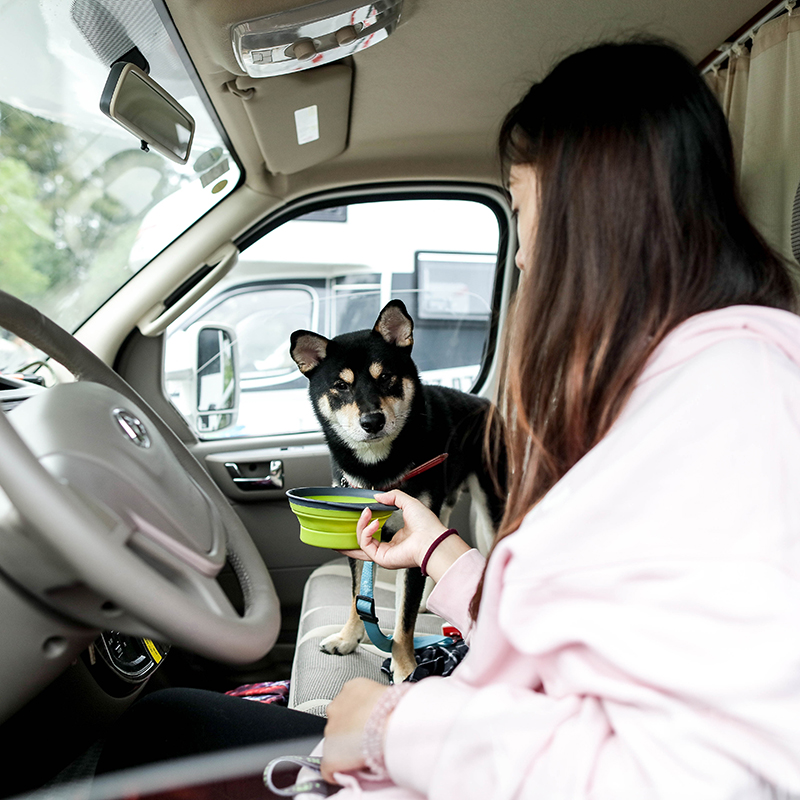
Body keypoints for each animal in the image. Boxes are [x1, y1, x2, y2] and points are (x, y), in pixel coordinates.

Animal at [288, 298, 504, 680]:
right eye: (340, 386)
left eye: (385, 377)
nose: (371, 421)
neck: (377, 469)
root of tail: (485, 402)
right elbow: (358, 599)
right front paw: (348, 638)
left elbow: (403, 621)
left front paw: (406, 669)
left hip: (489, 502)